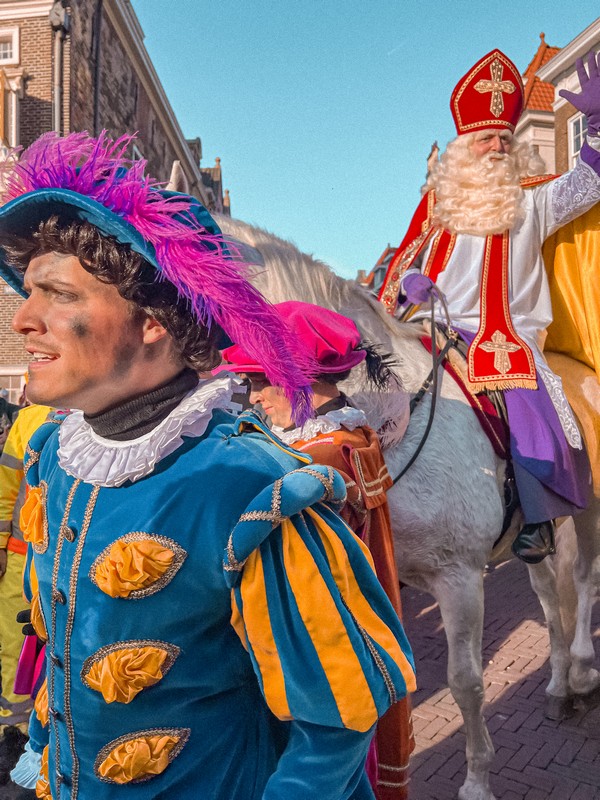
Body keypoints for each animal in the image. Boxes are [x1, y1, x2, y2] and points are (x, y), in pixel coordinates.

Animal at [217, 216, 600, 800]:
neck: (389, 414)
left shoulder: (459, 575)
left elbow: (465, 684)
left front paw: (477, 781)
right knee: (549, 595)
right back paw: (558, 683)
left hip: (591, 506)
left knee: (583, 578)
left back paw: (580, 671)